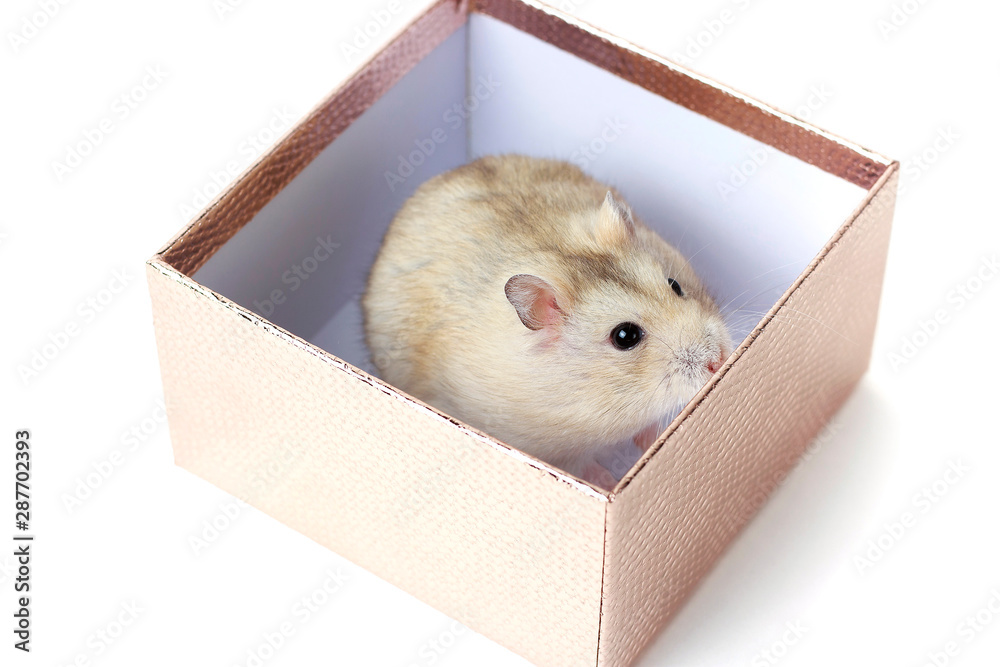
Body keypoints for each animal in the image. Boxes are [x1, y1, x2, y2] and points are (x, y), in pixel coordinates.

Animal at [362, 154, 731, 483]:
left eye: (675, 285)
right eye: (625, 336)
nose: (720, 361)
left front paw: (654, 438)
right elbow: (583, 465)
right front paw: (607, 480)